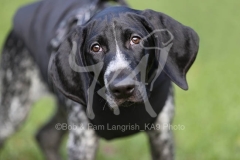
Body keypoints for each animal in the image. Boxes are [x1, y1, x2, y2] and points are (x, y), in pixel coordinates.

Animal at [0, 0, 199, 160]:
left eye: (136, 40)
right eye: (96, 48)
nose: (122, 88)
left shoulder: (161, 137)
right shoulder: (82, 143)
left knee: (46, 136)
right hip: (12, 112)